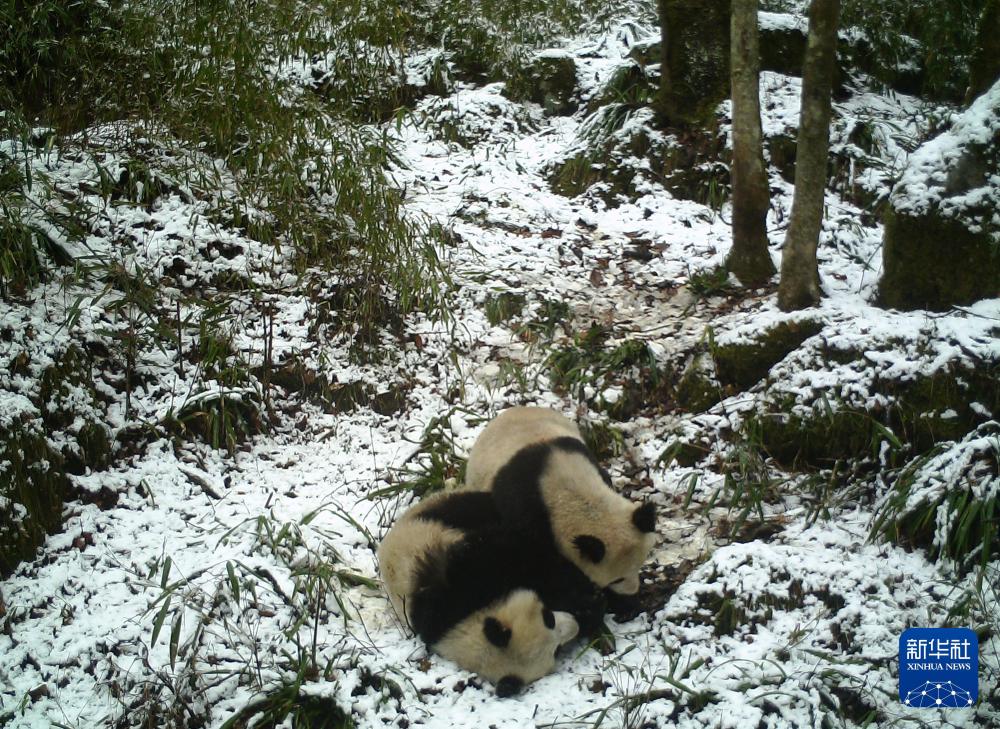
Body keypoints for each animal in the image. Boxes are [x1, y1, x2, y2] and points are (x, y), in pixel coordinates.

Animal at [378, 489, 582, 696]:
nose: (576, 625)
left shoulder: (462, 583)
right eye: (557, 650)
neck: (464, 623)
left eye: (548, 617)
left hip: (445, 516)